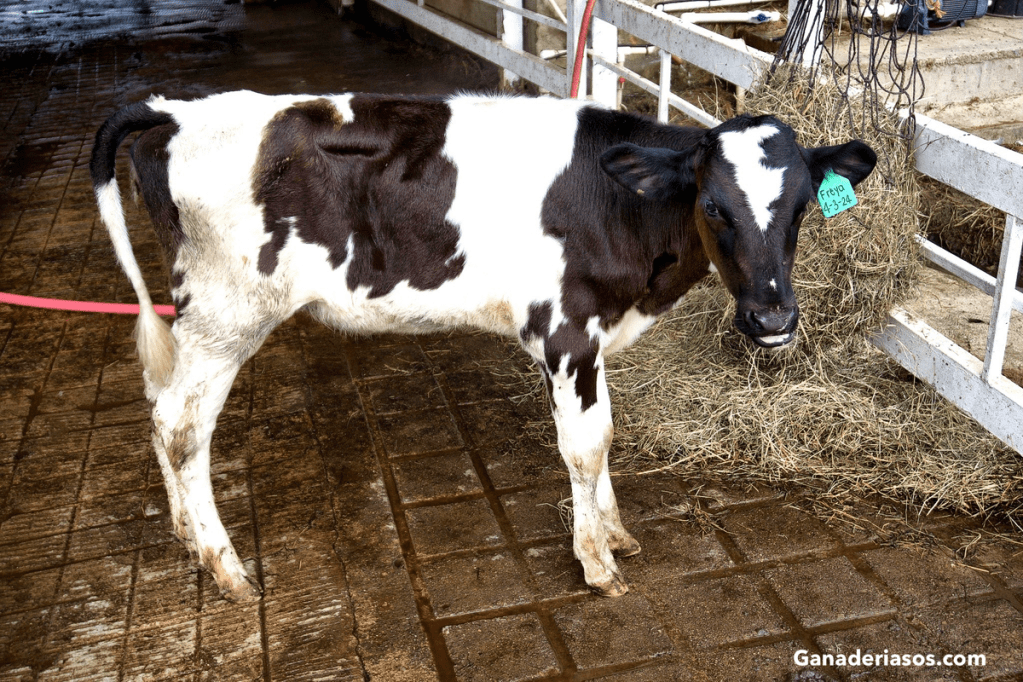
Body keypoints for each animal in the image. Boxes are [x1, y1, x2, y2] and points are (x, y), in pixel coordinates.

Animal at [90, 91, 877, 601]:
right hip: (228, 316)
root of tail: (178, 110)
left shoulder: (593, 338)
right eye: (712, 205)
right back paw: (224, 567)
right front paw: (595, 562)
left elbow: (605, 433)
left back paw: (185, 533)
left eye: (802, 208)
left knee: (159, 409)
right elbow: (581, 447)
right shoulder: (564, 330)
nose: (773, 318)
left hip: (199, 319)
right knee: (182, 427)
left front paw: (615, 531)